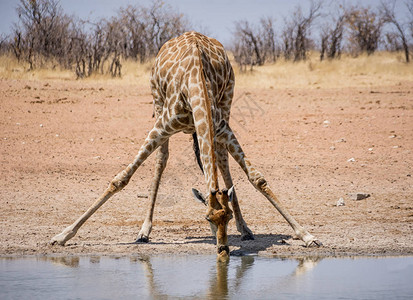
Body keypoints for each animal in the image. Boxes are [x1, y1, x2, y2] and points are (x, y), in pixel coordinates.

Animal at [50, 31, 322, 258]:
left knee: (221, 160)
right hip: (157, 103)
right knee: (162, 160)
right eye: (207, 218)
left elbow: (258, 179)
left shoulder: (222, 127)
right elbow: (120, 179)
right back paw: (144, 231)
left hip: (228, 102)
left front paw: (308, 236)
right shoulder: (162, 126)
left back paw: (245, 229)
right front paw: (62, 236)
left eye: (226, 217)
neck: (196, 85)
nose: (223, 250)